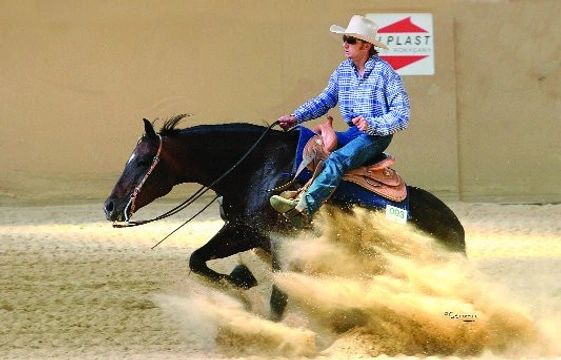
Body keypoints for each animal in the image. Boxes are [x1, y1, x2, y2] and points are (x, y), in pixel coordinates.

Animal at [105, 114, 464, 318]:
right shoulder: (244, 231)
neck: (253, 170)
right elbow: (197, 259)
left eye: (142, 161)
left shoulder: (284, 243)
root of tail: (457, 229)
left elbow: (278, 300)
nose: (110, 205)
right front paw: (242, 279)